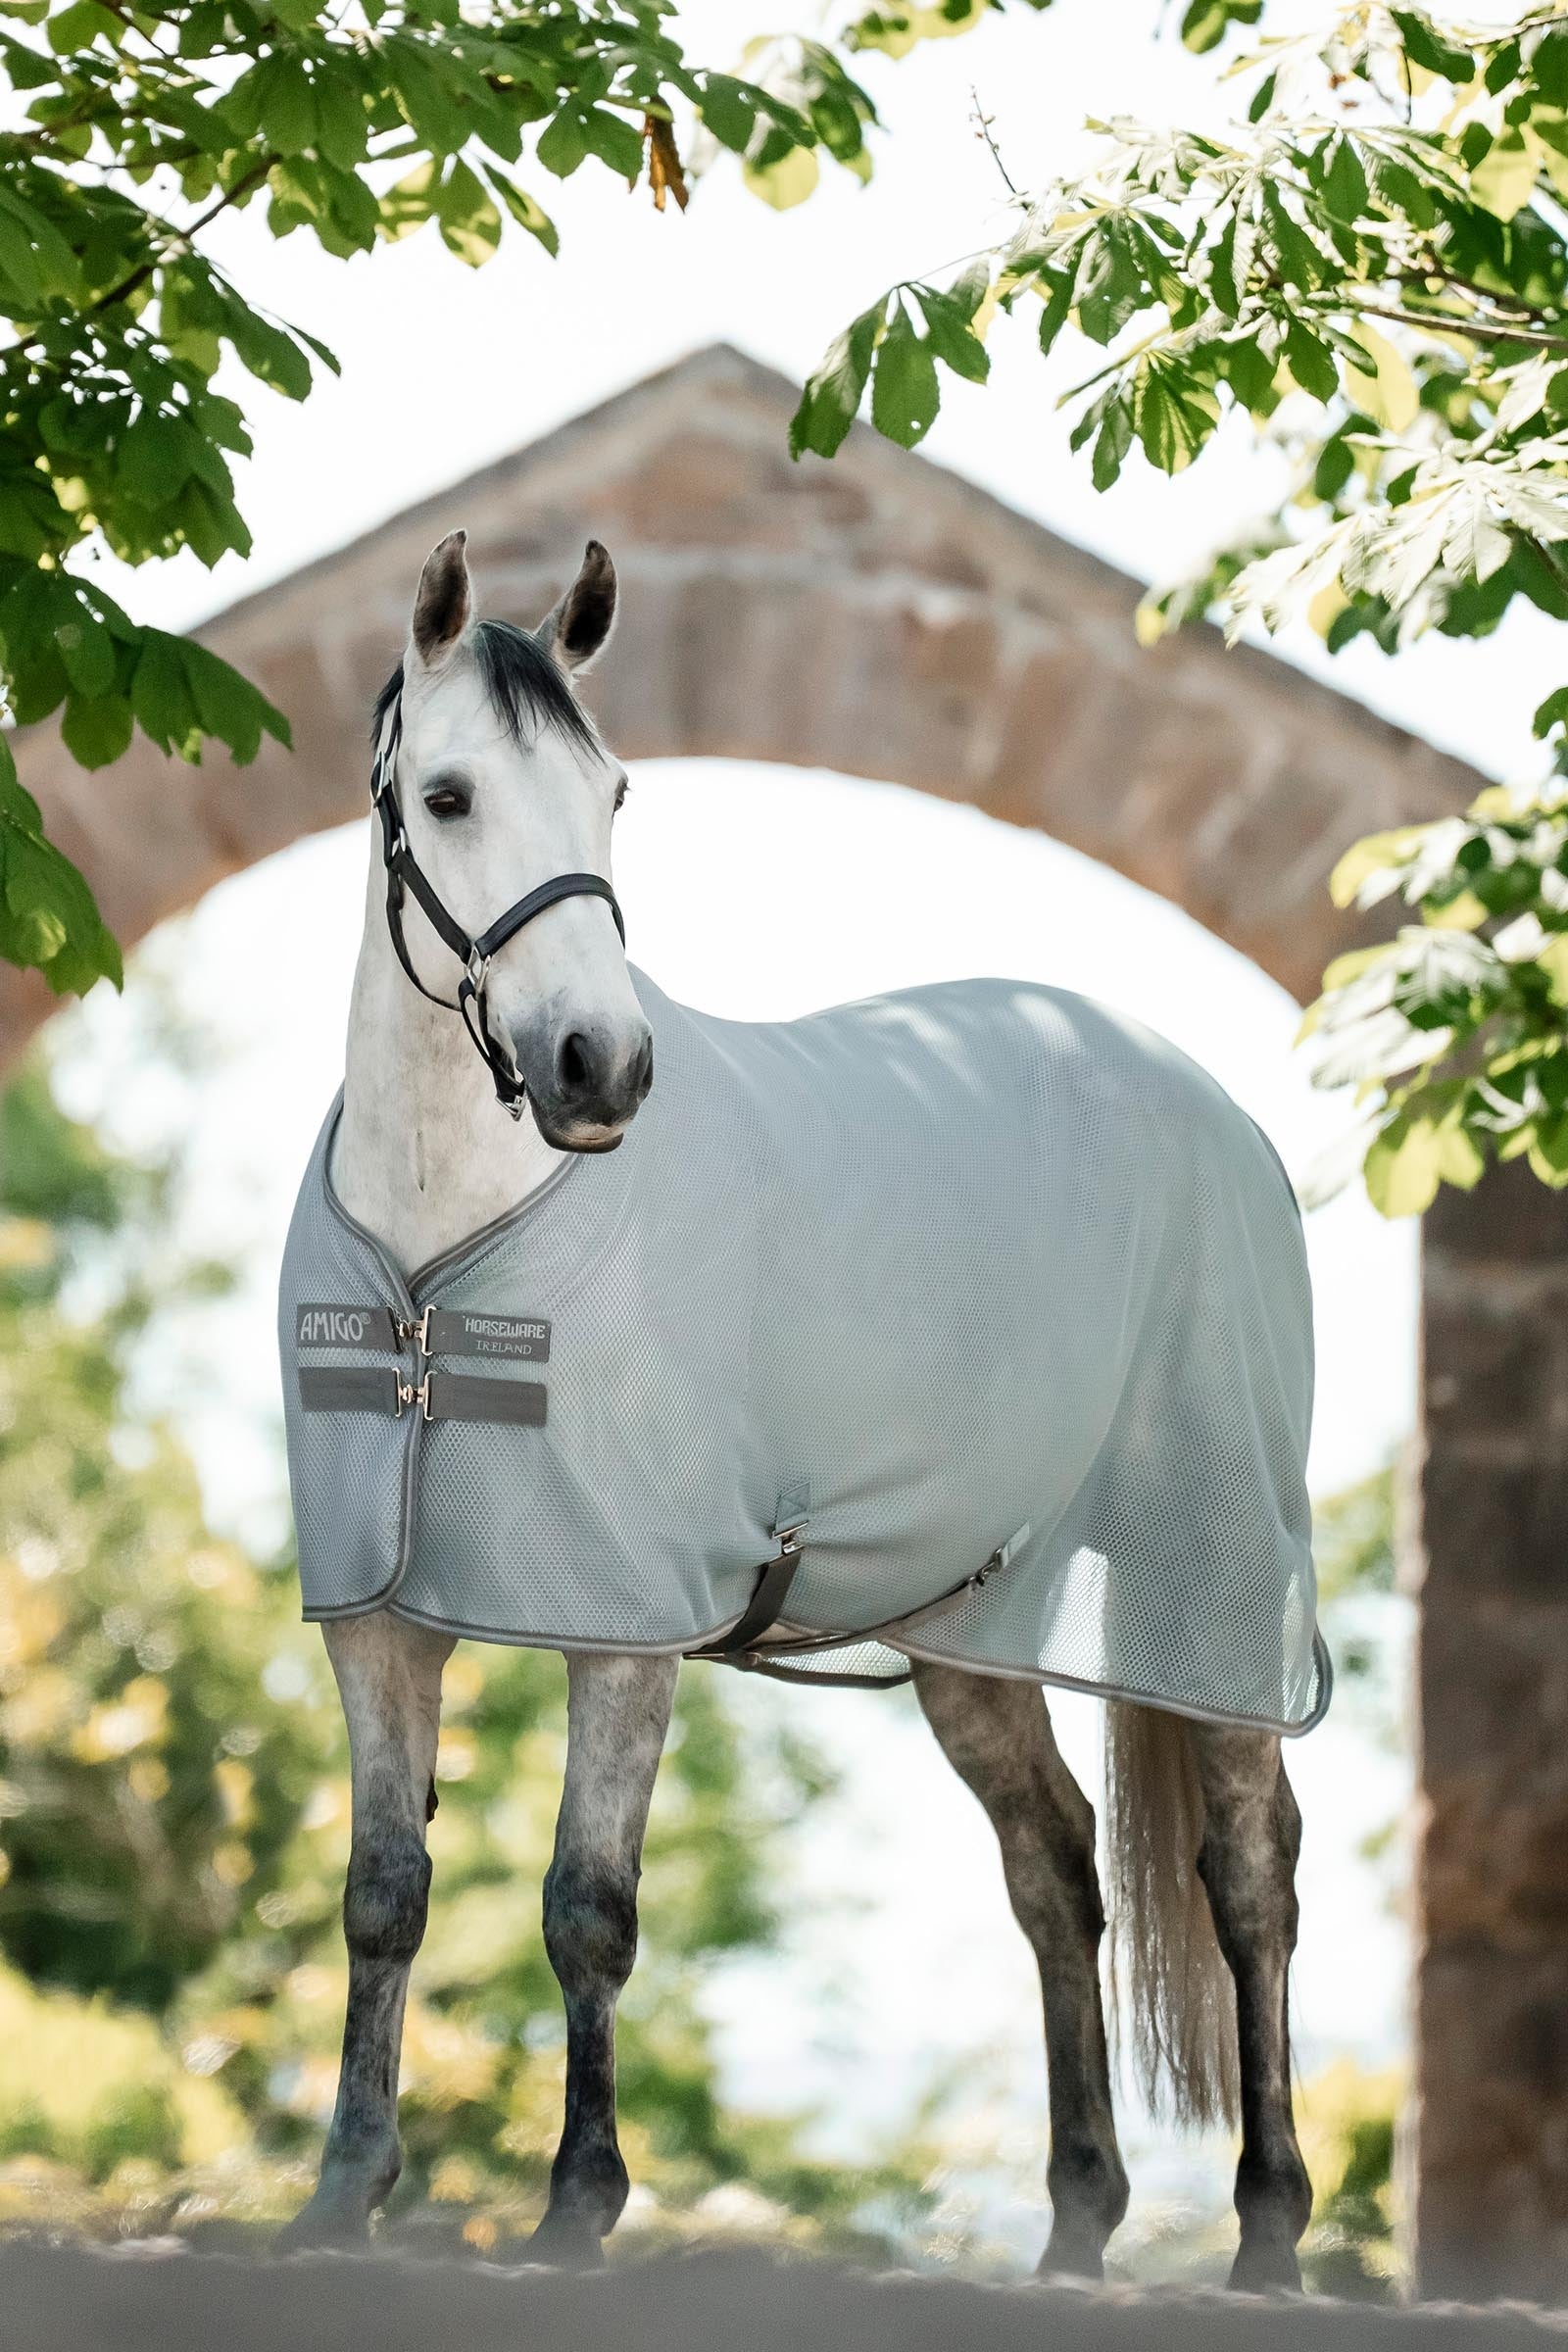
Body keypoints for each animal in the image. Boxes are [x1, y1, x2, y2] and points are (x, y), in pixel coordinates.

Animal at [276, 528, 1316, 2289]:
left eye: (614, 791)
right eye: (449, 796)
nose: (601, 1068)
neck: (443, 1251)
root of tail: (1217, 1114)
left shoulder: (621, 1625)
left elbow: (587, 1907)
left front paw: (578, 2206)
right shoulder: (378, 1615)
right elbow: (383, 1892)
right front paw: (343, 2197)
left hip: (1217, 1583)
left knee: (1247, 1877)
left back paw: (1268, 2230)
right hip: (975, 1627)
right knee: (1057, 1871)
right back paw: (1076, 2226)